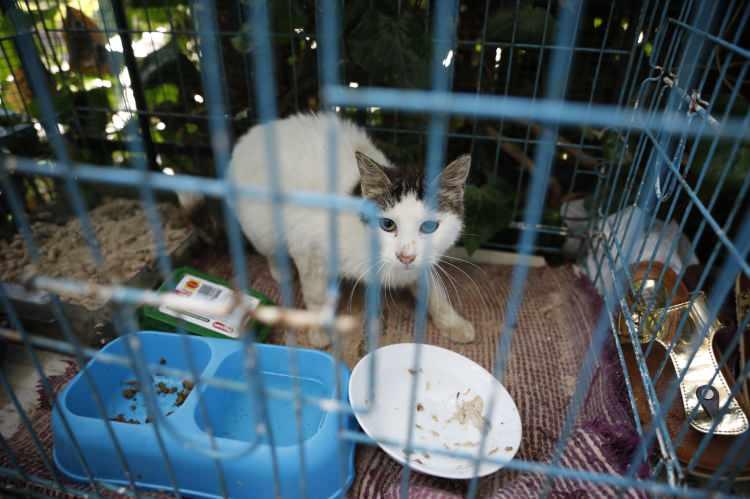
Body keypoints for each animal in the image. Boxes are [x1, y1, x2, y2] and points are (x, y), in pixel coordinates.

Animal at [220, 113, 476, 348]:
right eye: (387, 224)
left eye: (429, 226)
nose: (406, 256)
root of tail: (253, 132)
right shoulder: (308, 245)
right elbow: (314, 293)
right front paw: (318, 330)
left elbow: (434, 288)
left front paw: (454, 323)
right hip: (259, 225)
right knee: (270, 247)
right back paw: (281, 270)